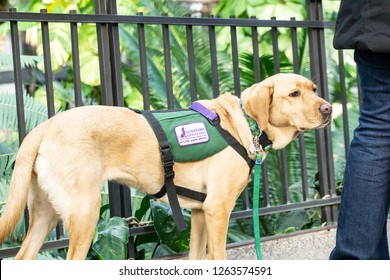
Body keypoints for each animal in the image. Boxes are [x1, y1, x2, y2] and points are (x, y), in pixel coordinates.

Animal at [0, 73, 332, 260]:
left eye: (314, 88)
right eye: (294, 94)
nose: (329, 108)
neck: (244, 125)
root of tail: (43, 127)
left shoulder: (200, 214)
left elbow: (198, 260)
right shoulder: (217, 210)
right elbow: (218, 259)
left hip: (45, 215)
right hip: (85, 214)